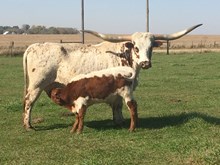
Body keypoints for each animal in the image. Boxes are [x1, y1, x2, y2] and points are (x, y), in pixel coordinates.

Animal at [23, 24, 202, 130]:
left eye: (151, 47)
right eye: (135, 47)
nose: (145, 63)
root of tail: (33, 46)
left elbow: (119, 105)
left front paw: (120, 120)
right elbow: (117, 104)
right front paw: (119, 121)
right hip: (37, 85)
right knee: (28, 102)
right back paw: (28, 125)